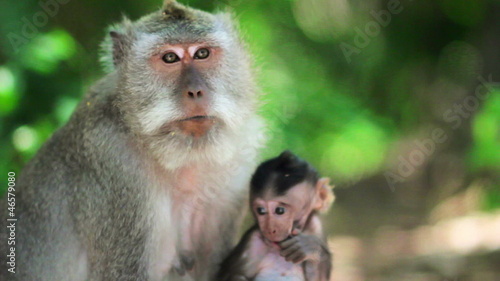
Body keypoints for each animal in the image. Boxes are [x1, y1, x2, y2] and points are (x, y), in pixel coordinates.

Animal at [217, 151, 334, 280]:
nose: (270, 229)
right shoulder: (252, 241)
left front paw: (310, 246)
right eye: (261, 211)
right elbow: (233, 276)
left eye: (280, 210)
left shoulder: (316, 226)